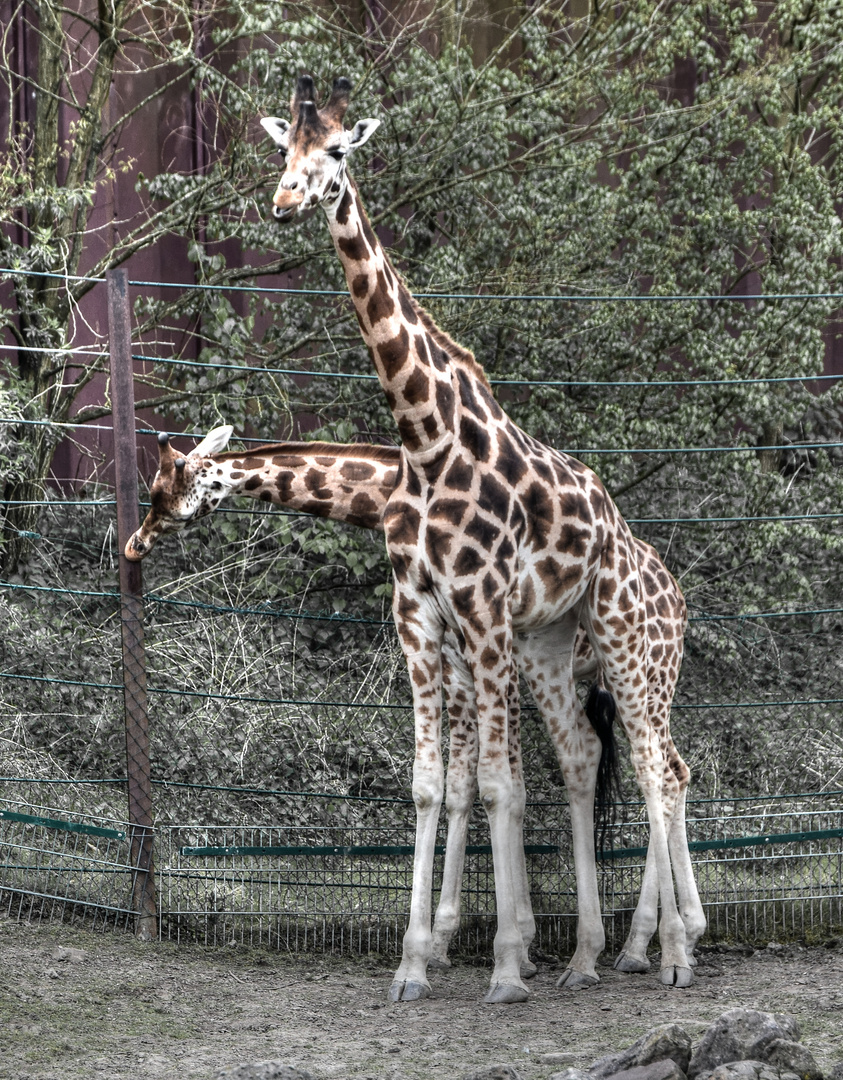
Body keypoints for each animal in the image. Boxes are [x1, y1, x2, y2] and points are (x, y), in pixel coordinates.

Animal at [126, 425, 703, 984]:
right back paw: (664, 939)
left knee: (663, 770)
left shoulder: (485, 665)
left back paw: (655, 943)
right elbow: (475, 788)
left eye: (163, 495)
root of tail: (677, 597)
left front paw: (491, 944)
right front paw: (494, 944)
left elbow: (482, 787)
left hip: (650, 670)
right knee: (670, 769)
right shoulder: (463, 665)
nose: (135, 544)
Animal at [260, 76, 695, 1002]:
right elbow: (433, 784)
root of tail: (633, 543)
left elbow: (496, 783)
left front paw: (498, 964)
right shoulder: (420, 614)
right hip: (552, 643)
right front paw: (412, 965)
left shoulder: (481, 607)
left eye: (337, 152)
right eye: (282, 151)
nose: (284, 202)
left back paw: (671, 951)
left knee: (655, 770)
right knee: (587, 760)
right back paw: (591, 954)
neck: (425, 439)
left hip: (623, 647)